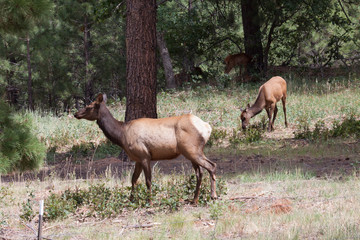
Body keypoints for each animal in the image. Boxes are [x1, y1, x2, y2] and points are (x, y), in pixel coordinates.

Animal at [74, 93, 217, 203]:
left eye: (89, 106)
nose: (76, 114)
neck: (122, 135)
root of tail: (207, 127)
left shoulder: (144, 155)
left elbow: (148, 180)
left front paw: (150, 201)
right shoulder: (137, 158)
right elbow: (133, 179)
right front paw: (131, 200)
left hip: (192, 150)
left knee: (211, 166)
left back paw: (213, 195)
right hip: (192, 152)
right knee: (200, 172)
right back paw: (194, 199)